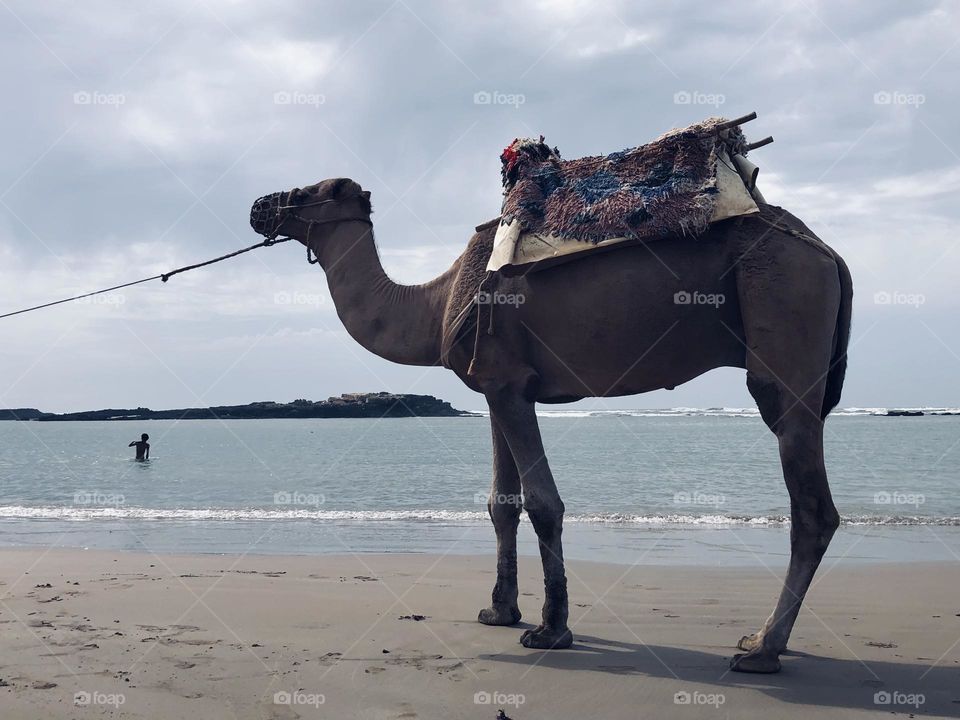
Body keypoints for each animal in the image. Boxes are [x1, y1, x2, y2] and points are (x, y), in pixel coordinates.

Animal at [249, 176, 856, 676]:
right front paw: (499, 610)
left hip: (782, 305)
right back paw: (769, 640)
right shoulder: (500, 386)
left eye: (309, 191)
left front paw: (551, 629)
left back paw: (763, 648)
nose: (259, 206)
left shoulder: (508, 378)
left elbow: (543, 503)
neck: (436, 303)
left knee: (810, 500)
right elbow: (501, 503)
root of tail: (827, 251)